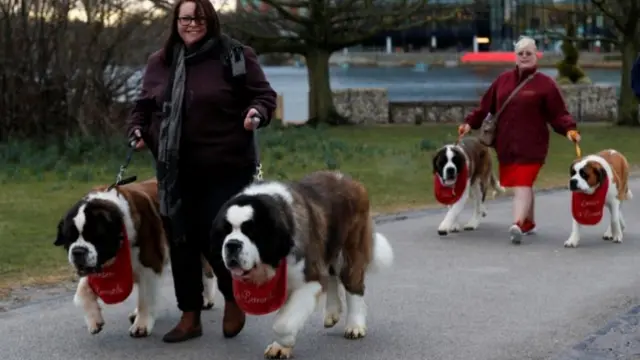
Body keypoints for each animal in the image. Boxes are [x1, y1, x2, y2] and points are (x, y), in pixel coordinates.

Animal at [53, 179, 218, 338]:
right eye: (69, 238)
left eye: (95, 237)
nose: (78, 251)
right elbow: (82, 290)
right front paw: (94, 320)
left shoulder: (150, 265)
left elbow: (146, 298)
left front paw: (141, 325)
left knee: (206, 271)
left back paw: (207, 299)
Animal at [210, 170, 392, 358]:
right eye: (225, 232)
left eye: (251, 232)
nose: (232, 244)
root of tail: (348, 179)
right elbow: (287, 312)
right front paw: (281, 346)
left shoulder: (309, 280)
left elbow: (283, 322)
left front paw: (285, 340)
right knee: (331, 277)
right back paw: (332, 311)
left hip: (350, 248)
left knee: (352, 285)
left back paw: (355, 325)